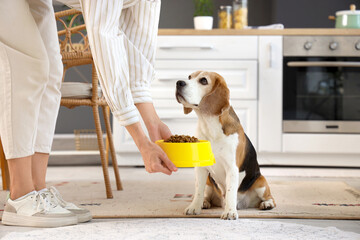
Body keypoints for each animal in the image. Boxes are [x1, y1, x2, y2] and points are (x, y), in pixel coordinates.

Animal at [176, 71, 274, 219]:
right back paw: (204, 202)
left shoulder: (232, 168)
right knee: (206, 194)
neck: (209, 125)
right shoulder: (200, 167)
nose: (178, 83)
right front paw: (194, 207)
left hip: (260, 182)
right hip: (209, 182)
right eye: (189, 77)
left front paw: (230, 212)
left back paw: (266, 204)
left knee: (270, 198)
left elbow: (230, 191)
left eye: (203, 80)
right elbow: (198, 190)